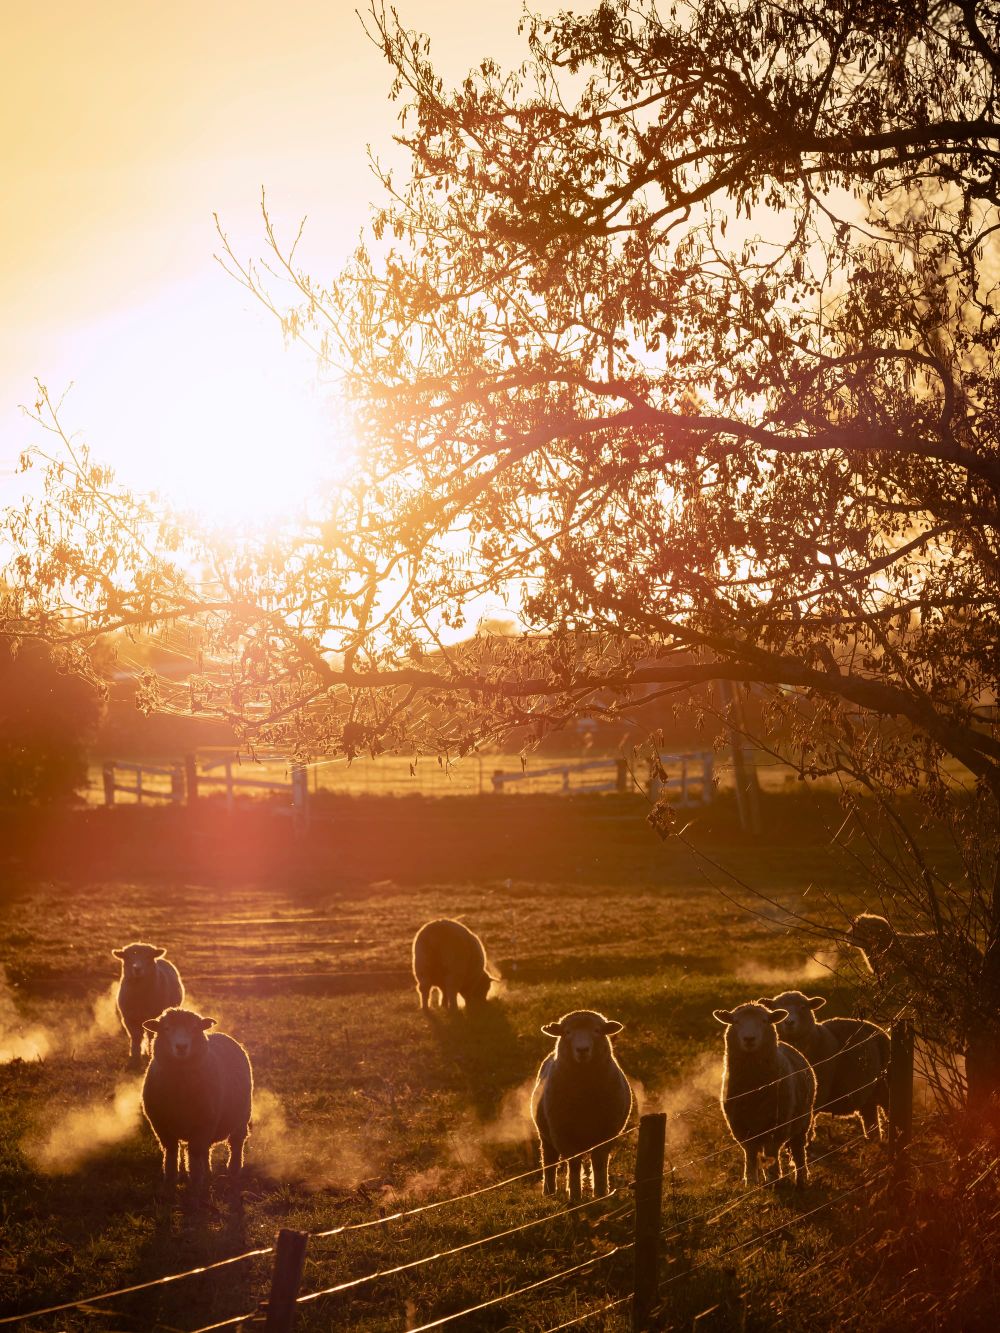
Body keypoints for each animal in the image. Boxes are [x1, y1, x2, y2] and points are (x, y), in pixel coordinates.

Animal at [141, 1007, 253, 1197]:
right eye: (166, 1028)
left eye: (194, 1028)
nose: (181, 1047)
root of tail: (220, 1034)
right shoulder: (161, 1125)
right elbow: (171, 1151)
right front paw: (170, 1181)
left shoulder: (203, 1124)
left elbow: (194, 1153)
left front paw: (195, 1184)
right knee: (207, 1149)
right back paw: (207, 1172)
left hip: (242, 1114)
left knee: (236, 1142)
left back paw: (233, 1170)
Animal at [530, 1010, 633, 1203]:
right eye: (567, 1032)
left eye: (597, 1030)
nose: (582, 1050)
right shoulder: (563, 1133)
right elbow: (574, 1164)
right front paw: (575, 1196)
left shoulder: (606, 1133)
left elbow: (599, 1162)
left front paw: (600, 1193)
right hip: (545, 1135)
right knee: (549, 1161)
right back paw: (549, 1192)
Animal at [714, 1002, 816, 1190]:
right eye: (736, 1021)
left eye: (764, 1021)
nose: (749, 1039)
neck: (754, 1088)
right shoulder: (740, 1125)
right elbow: (750, 1153)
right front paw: (751, 1181)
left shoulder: (776, 1125)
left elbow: (771, 1152)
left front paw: (773, 1179)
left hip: (803, 1121)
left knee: (799, 1151)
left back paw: (802, 1179)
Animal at [758, 991, 889, 1139]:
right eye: (777, 1007)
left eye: (803, 1007)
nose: (789, 1022)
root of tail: (876, 1028)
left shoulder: (817, 1094)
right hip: (868, 1095)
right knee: (871, 1120)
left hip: (886, 1086)